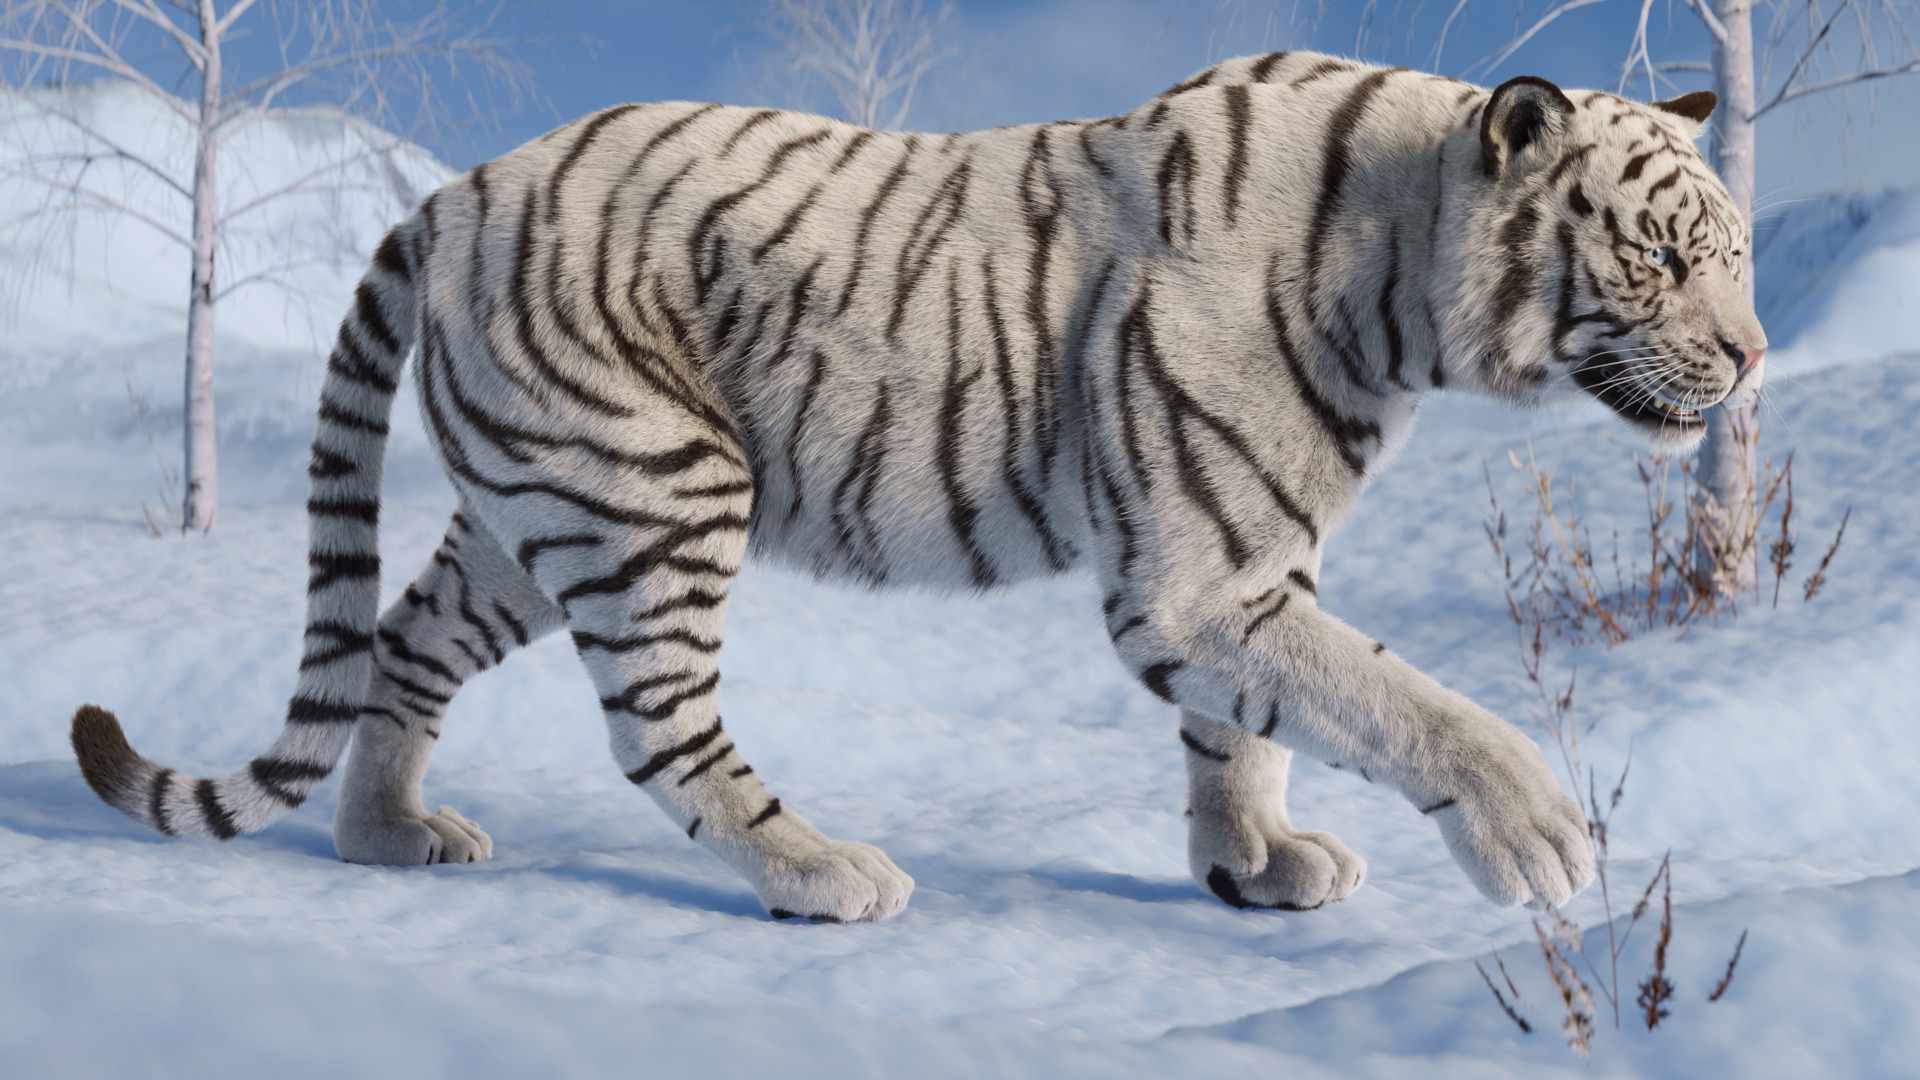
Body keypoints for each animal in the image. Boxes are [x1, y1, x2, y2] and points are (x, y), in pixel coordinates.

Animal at [70, 51, 1765, 924]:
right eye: (1666, 256)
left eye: (1736, 257)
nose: (1752, 361)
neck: (1404, 286)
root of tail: (457, 186)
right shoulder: (1194, 576)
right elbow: (1399, 699)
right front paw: (1536, 839)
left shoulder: (1248, 559)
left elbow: (1260, 727)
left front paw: (1251, 866)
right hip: (656, 488)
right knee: (660, 729)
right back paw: (822, 873)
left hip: (531, 507)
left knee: (403, 643)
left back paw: (389, 835)